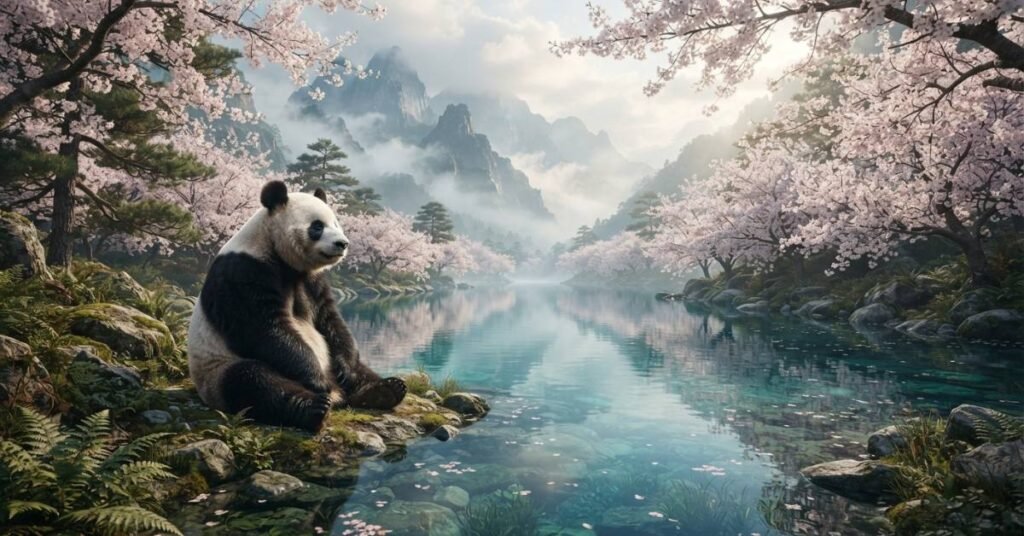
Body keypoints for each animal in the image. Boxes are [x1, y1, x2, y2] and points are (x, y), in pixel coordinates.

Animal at [187, 180, 406, 432]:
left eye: (336, 223)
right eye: (317, 226)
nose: (342, 243)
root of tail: (338, 396)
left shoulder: (313, 281)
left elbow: (330, 320)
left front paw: (347, 370)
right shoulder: (243, 272)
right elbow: (266, 330)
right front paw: (316, 381)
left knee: (360, 370)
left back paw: (384, 390)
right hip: (216, 371)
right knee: (253, 380)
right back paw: (313, 407)